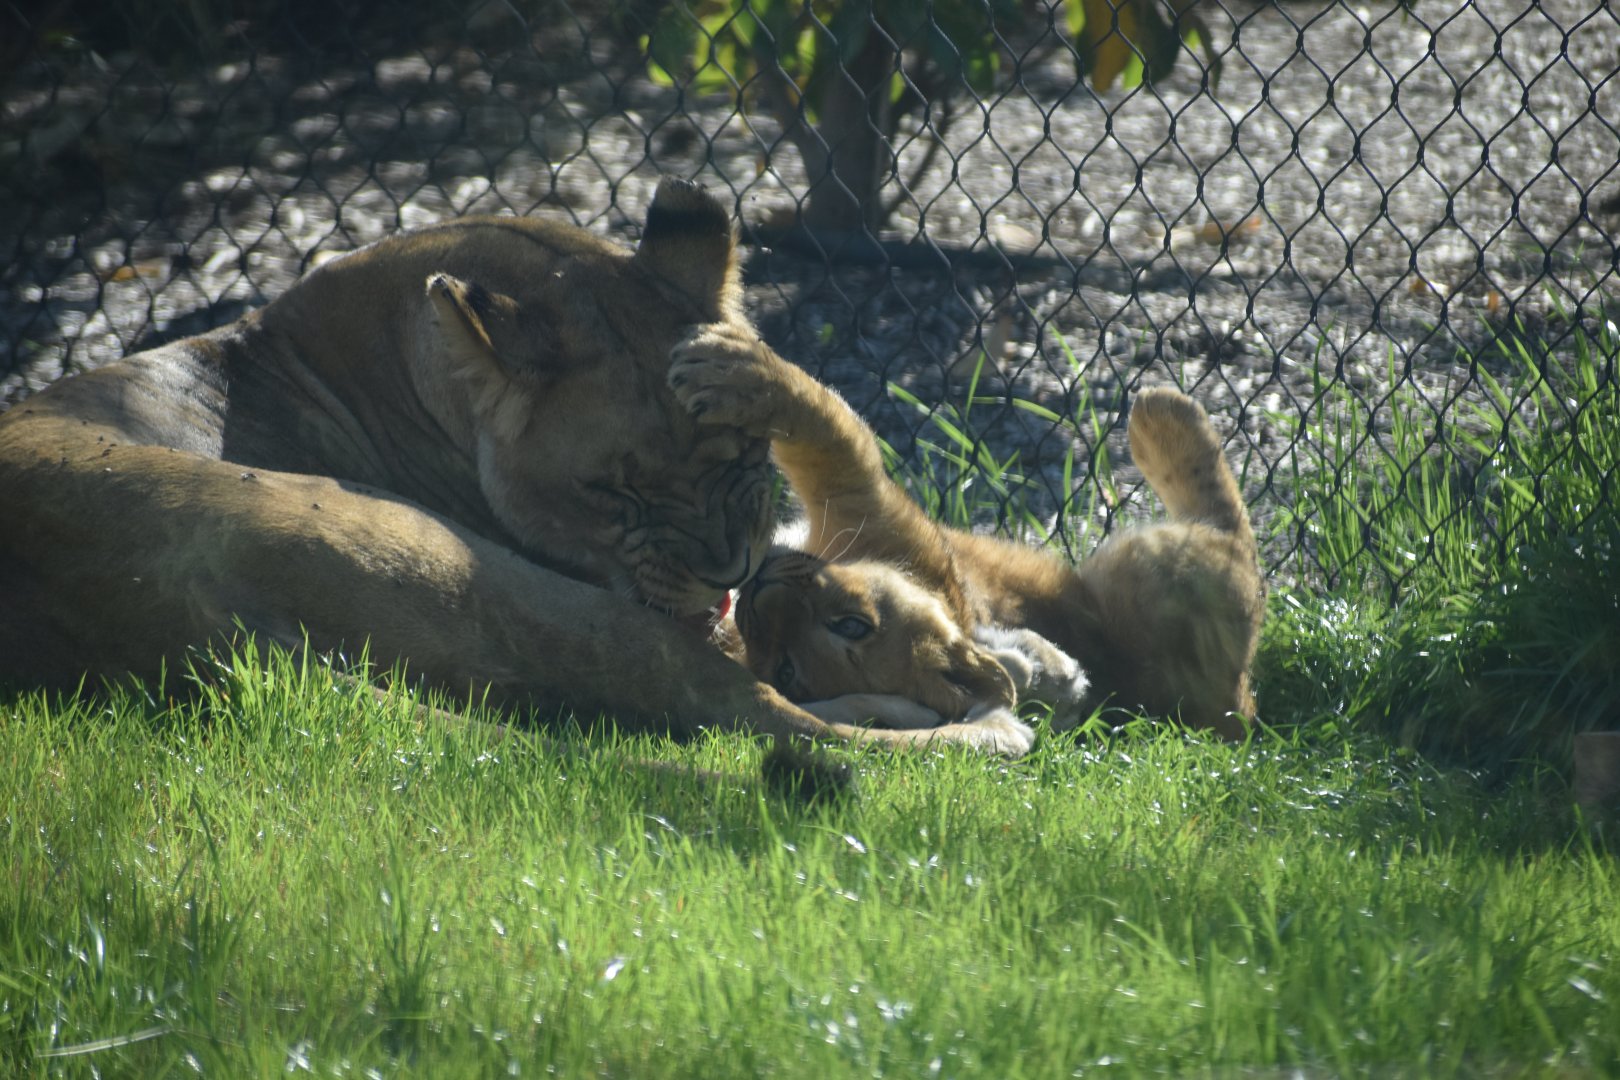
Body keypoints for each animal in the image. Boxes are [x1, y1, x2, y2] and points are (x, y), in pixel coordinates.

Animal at [0, 178, 1034, 766]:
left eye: (744, 455)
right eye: (614, 491)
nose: (733, 571)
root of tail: (186, 635)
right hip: (495, 584)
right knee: (767, 716)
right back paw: (990, 721)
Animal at [668, 323, 1266, 739]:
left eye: (852, 627)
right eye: (785, 670)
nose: (759, 588)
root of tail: (1240, 709)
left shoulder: (863, 500)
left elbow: (823, 424)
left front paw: (727, 366)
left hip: (1147, 568)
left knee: (1230, 529)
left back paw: (1160, 411)